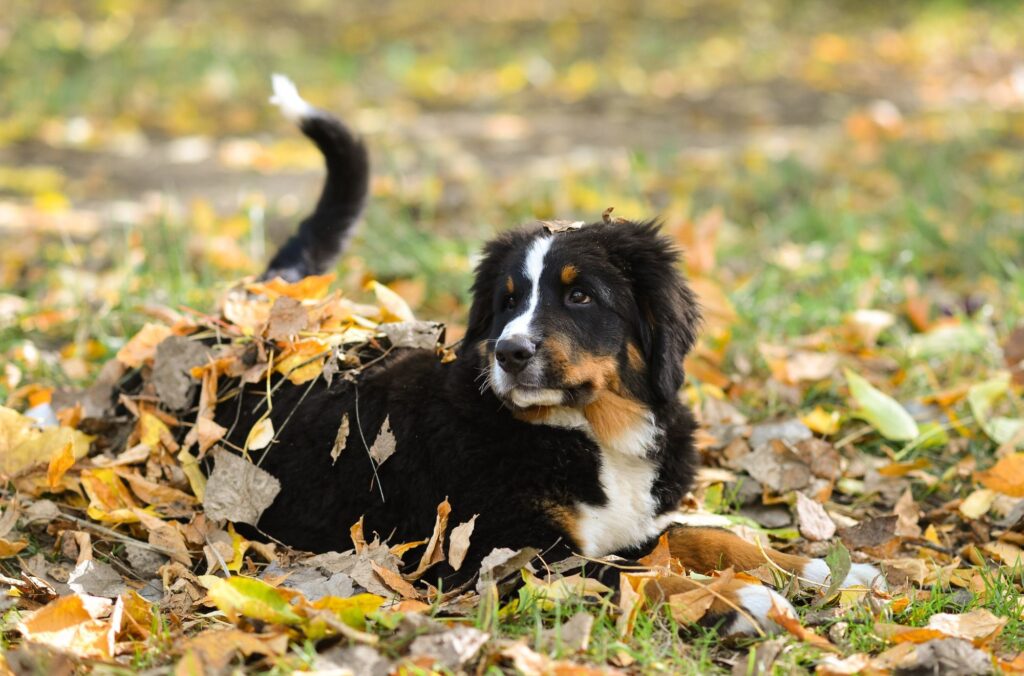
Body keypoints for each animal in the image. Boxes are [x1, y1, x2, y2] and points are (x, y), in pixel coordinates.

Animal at [211, 76, 884, 635]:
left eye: (580, 295)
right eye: (508, 302)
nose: (510, 352)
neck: (596, 434)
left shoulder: (633, 525)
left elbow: (712, 536)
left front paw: (827, 569)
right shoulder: (516, 553)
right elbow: (640, 578)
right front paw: (742, 600)